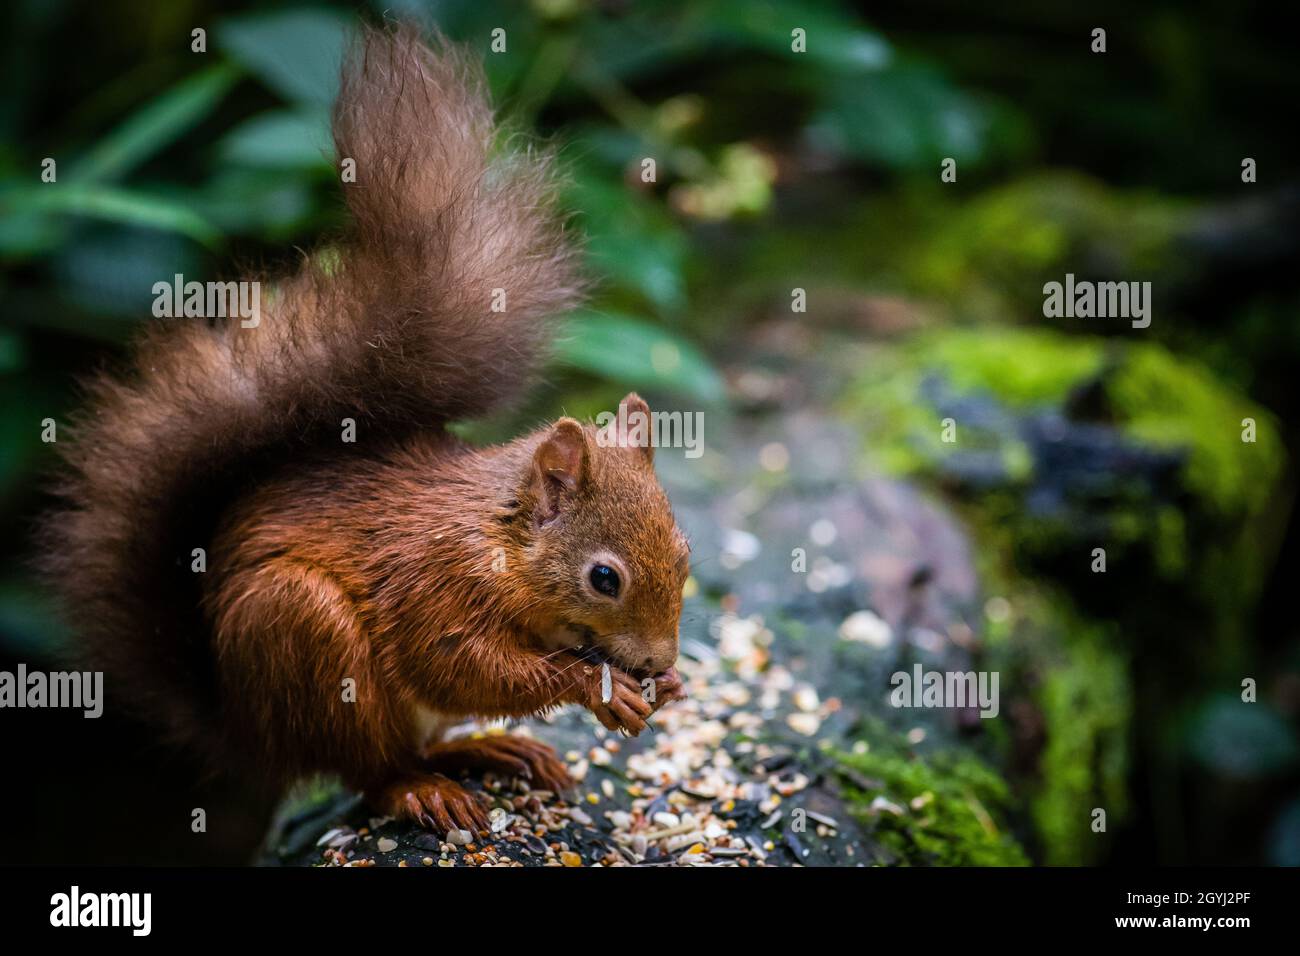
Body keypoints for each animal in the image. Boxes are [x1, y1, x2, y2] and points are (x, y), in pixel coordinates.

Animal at [40, 24, 688, 835]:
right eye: (604, 579)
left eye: (685, 554)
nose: (660, 660)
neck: (500, 543)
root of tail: (245, 730)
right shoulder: (434, 584)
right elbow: (465, 664)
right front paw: (599, 687)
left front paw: (667, 688)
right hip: (303, 633)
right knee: (370, 771)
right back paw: (422, 788)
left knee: (419, 745)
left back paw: (488, 752)